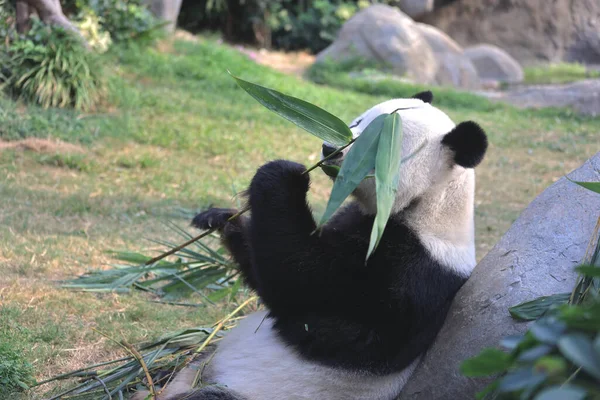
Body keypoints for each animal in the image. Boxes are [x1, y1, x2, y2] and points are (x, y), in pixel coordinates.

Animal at [132, 91, 488, 400]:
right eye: (358, 120)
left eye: (379, 141)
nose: (330, 147)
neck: (430, 206)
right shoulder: (355, 220)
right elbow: (265, 265)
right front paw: (220, 218)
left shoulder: (411, 276)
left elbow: (302, 290)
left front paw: (283, 175)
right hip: (198, 362)